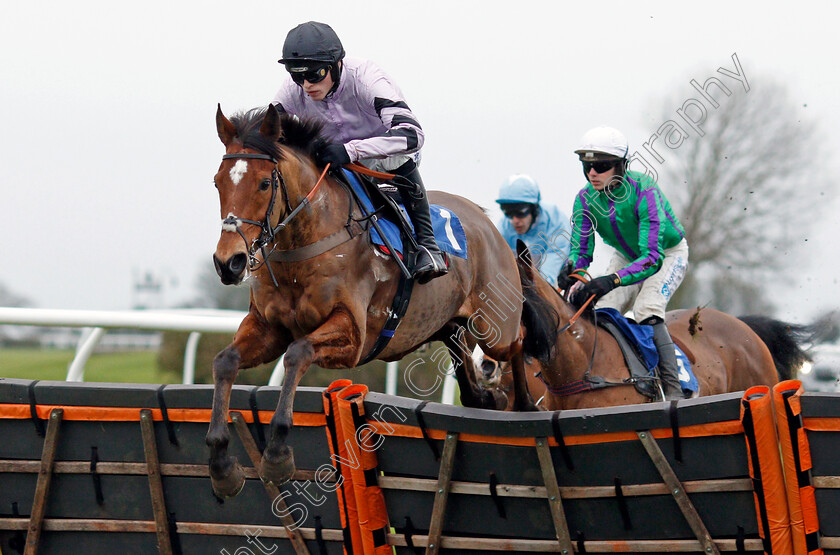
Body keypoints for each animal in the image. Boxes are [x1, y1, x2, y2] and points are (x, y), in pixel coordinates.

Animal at [205, 106, 556, 498]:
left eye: (265, 183)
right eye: (218, 182)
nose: (229, 262)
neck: (307, 242)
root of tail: (487, 221)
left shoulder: (354, 336)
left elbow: (297, 353)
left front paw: (278, 454)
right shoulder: (269, 327)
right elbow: (225, 361)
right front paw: (221, 464)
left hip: (493, 327)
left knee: (518, 340)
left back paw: (525, 406)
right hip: (447, 326)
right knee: (471, 381)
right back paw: (491, 399)